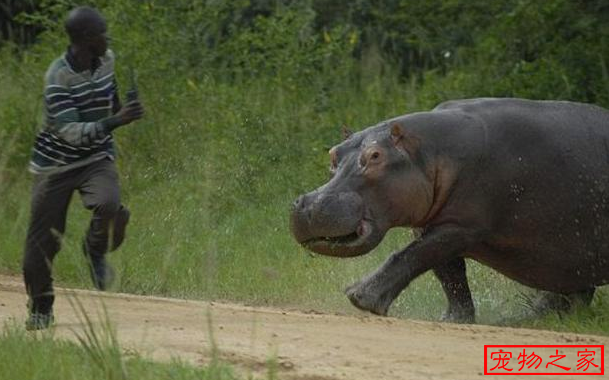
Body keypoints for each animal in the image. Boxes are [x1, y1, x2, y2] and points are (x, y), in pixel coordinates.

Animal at [288, 97, 608, 320]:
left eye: (376, 155)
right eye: (334, 153)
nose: (309, 205)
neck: (431, 151)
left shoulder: (461, 227)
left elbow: (412, 256)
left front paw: (359, 297)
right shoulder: (433, 224)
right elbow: (448, 275)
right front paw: (453, 319)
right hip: (571, 258)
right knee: (574, 292)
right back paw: (528, 316)